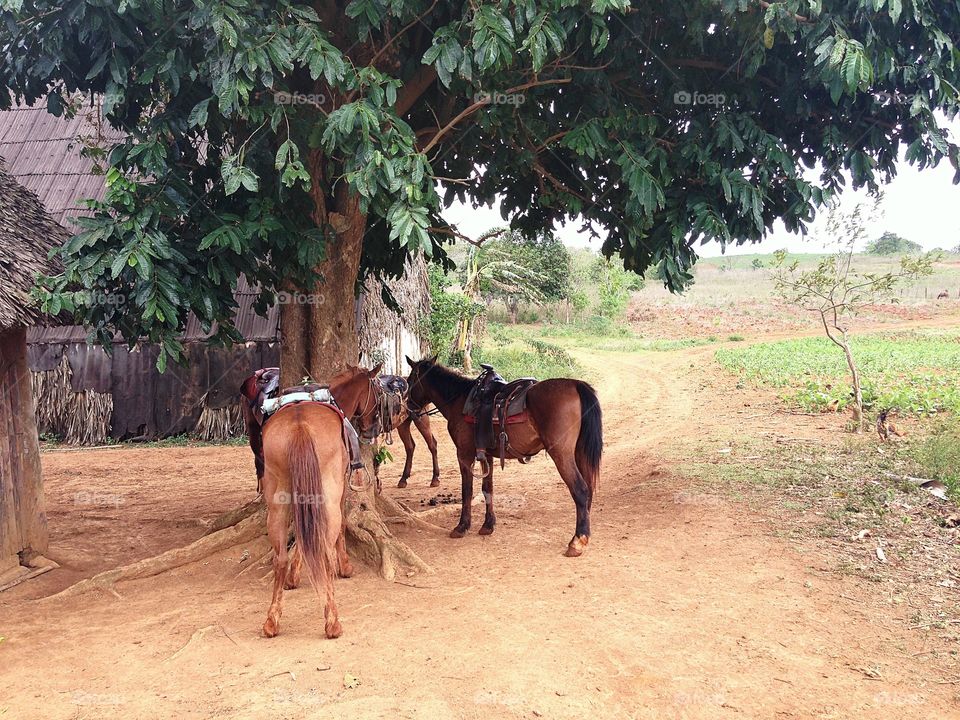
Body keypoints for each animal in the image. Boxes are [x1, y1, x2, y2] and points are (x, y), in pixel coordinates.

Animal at [405, 356, 603, 557]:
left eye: (410, 380)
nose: (408, 408)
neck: (459, 400)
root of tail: (576, 384)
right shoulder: (486, 455)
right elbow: (487, 488)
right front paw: (488, 525)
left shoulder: (464, 453)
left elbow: (467, 490)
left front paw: (462, 526)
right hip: (579, 453)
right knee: (588, 489)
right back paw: (584, 535)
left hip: (562, 455)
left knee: (580, 490)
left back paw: (577, 541)